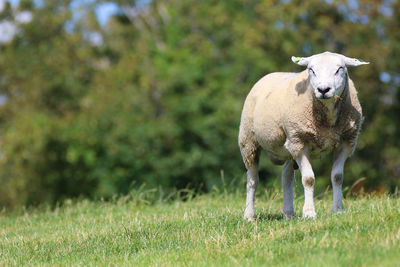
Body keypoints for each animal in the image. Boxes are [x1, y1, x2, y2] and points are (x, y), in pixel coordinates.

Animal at [238, 51, 368, 221]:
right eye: (311, 70)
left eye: (340, 69)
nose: (323, 89)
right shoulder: (300, 142)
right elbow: (308, 179)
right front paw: (309, 213)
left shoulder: (345, 142)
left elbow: (337, 176)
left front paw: (338, 210)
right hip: (249, 141)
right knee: (252, 180)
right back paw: (249, 215)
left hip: (289, 144)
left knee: (286, 177)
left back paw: (288, 213)